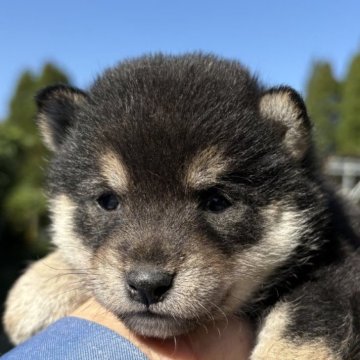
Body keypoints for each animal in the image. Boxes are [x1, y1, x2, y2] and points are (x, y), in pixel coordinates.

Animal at [3, 54, 360, 360]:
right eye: (107, 201)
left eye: (217, 201)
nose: (147, 285)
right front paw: (36, 287)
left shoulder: (336, 271)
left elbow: (302, 330)